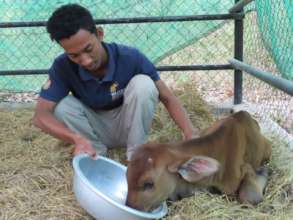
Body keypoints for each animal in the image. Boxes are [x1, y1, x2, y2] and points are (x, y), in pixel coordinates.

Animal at [125, 111, 272, 211]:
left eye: (148, 184)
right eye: (127, 176)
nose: (129, 207)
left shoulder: (244, 171)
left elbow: (247, 197)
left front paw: (264, 172)